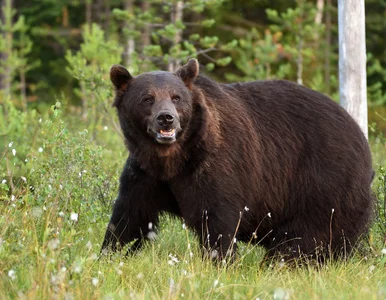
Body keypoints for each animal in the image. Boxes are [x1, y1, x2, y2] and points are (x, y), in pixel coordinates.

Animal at [100, 58, 374, 262]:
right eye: (147, 98)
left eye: (176, 97)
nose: (166, 118)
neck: (173, 160)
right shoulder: (146, 174)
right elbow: (129, 216)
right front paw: (108, 254)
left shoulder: (218, 167)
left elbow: (217, 220)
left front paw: (220, 261)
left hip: (323, 185)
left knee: (303, 239)